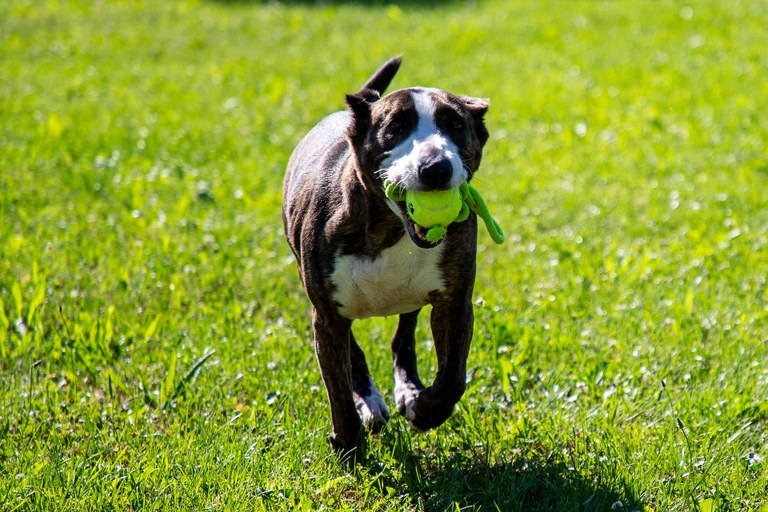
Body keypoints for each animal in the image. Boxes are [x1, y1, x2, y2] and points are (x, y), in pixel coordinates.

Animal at [282, 57, 492, 456]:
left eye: (456, 125)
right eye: (394, 127)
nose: (436, 167)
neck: (390, 230)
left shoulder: (455, 302)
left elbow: (453, 377)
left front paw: (425, 410)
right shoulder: (327, 315)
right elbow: (338, 386)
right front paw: (349, 446)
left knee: (403, 336)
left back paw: (408, 391)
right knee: (355, 354)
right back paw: (369, 403)